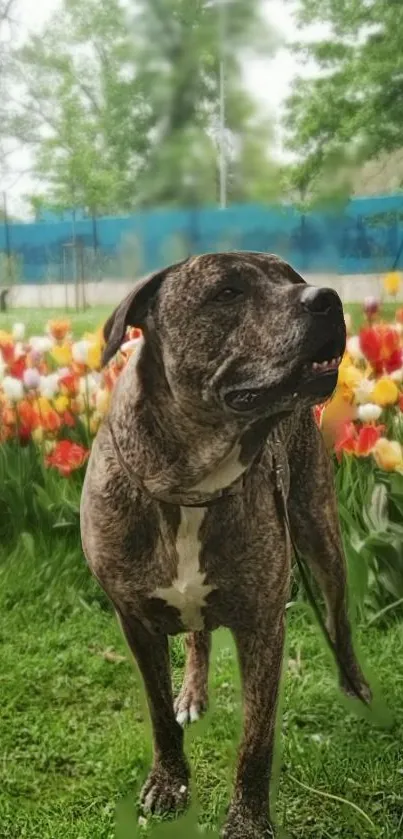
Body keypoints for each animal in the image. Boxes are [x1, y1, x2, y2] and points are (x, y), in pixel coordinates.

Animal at [79, 253, 372, 836]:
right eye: (227, 293)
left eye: (294, 280)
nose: (328, 298)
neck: (191, 482)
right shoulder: (135, 621)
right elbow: (158, 714)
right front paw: (168, 783)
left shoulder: (263, 624)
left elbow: (256, 741)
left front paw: (248, 820)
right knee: (197, 637)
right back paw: (192, 692)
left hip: (320, 533)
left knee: (339, 617)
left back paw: (355, 684)